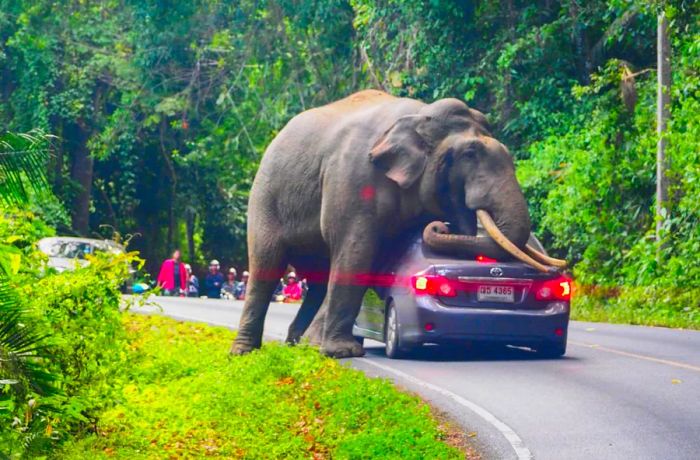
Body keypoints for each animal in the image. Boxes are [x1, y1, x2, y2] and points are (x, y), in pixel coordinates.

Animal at [232, 88, 568, 358]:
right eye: (470, 154)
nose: (441, 224)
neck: (419, 115)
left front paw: (327, 348)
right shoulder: (353, 178)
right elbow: (357, 251)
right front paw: (342, 353)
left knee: (317, 278)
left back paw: (298, 344)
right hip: (265, 196)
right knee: (267, 264)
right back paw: (245, 352)